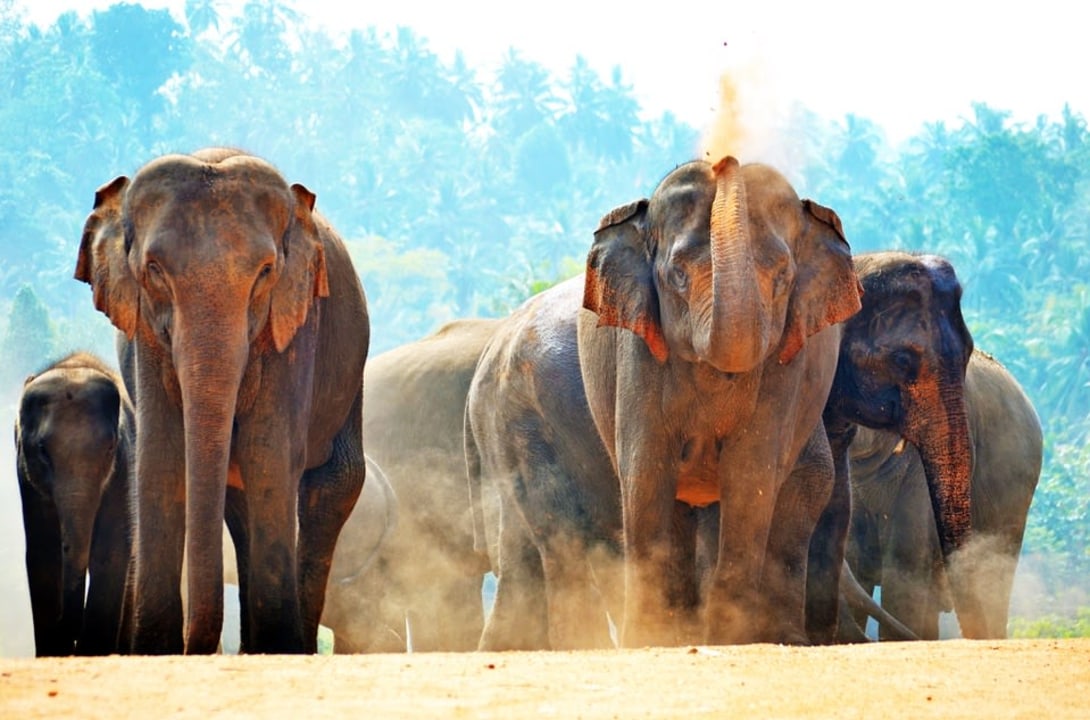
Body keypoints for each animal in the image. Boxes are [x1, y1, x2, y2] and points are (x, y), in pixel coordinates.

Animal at [15, 352, 135, 656]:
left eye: (110, 448)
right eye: (42, 450)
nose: (71, 634)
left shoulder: (123, 470)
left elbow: (110, 554)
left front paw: (93, 651)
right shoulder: (27, 480)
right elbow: (43, 556)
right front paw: (51, 652)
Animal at [74, 148, 370, 654]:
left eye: (266, 272)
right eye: (154, 270)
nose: (195, 648)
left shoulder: (294, 328)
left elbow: (267, 454)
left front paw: (279, 646)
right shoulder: (145, 337)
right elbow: (162, 458)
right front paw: (155, 649)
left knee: (332, 484)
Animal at [468, 156, 865, 648]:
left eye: (783, 279)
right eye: (677, 275)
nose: (723, 159)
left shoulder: (788, 363)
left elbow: (751, 474)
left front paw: (729, 637)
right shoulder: (636, 351)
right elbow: (646, 470)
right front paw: (649, 638)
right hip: (522, 418)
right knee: (558, 526)